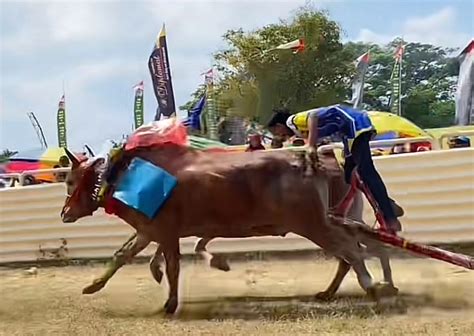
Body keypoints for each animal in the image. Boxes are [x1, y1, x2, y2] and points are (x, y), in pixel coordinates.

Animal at [63, 146, 394, 314]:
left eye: (69, 180)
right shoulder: (149, 231)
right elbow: (122, 255)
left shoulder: (166, 233)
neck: (126, 178)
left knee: (352, 251)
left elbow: (172, 268)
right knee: (355, 250)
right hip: (327, 220)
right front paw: (93, 286)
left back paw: (372, 287)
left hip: (315, 223)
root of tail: (311, 159)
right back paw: (338, 290)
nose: (64, 213)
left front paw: (170, 303)